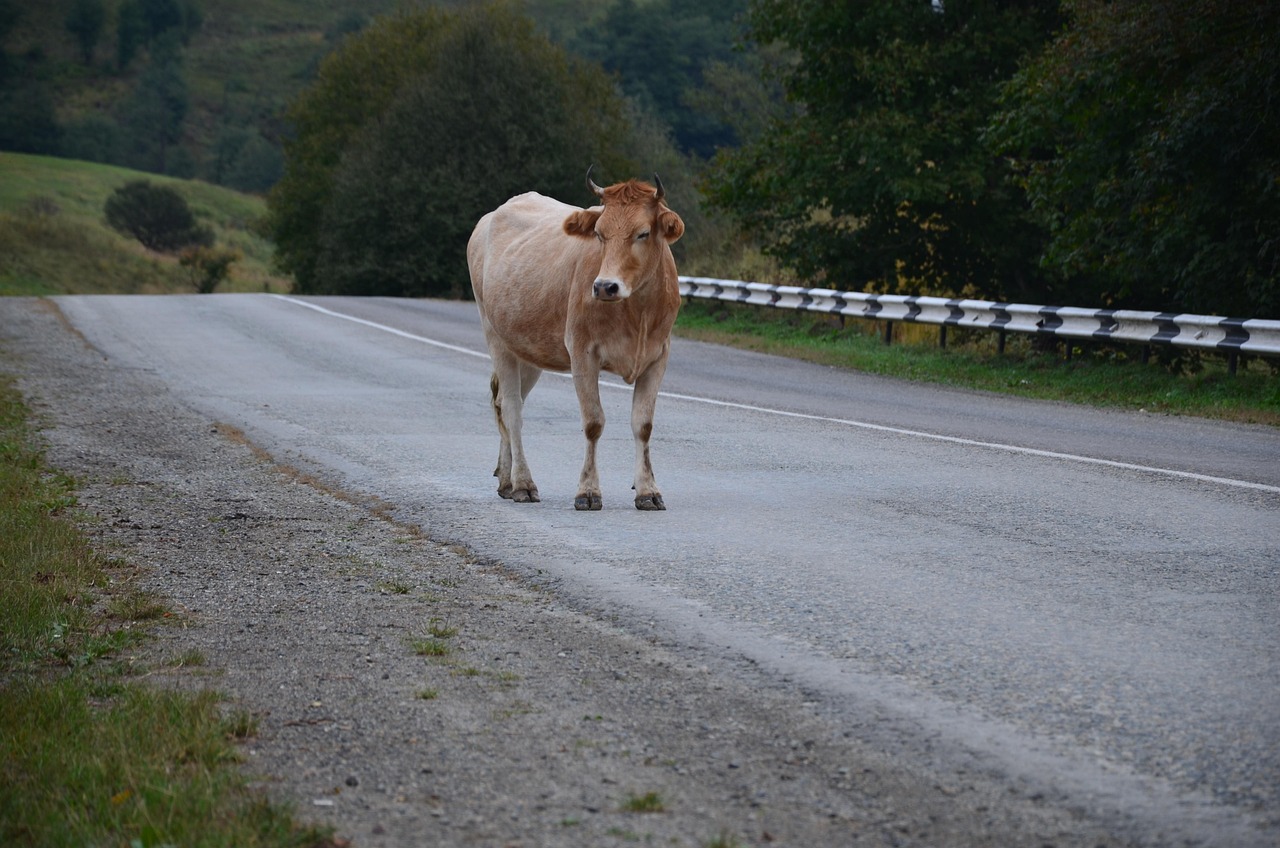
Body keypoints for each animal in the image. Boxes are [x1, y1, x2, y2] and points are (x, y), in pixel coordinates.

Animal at [471, 167, 686, 512]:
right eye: (599, 233)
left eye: (642, 233)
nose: (604, 286)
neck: (637, 312)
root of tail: (492, 216)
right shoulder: (583, 353)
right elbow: (594, 422)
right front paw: (587, 491)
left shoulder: (658, 357)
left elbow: (643, 425)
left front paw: (648, 491)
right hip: (496, 337)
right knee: (512, 409)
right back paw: (523, 484)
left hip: (528, 349)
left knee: (505, 402)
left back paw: (506, 480)